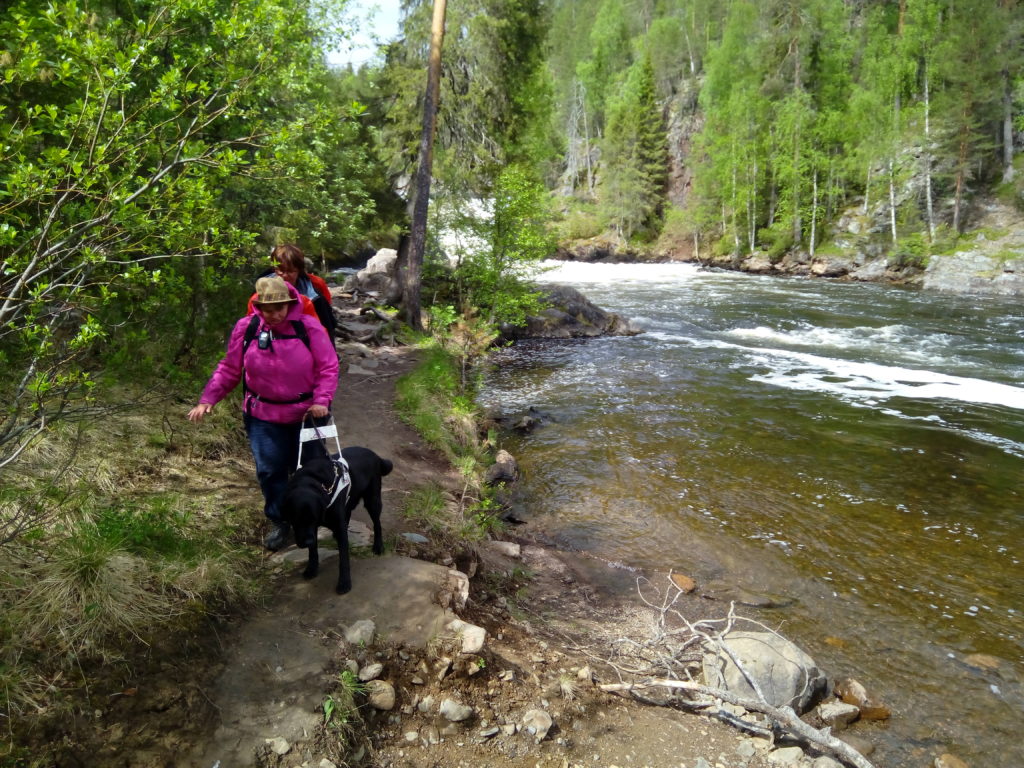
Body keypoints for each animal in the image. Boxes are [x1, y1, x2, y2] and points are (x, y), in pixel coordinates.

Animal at [282, 450, 393, 593]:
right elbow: (313, 551)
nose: (307, 542)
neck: (312, 481)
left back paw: (378, 546)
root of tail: (375, 455)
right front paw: (312, 569)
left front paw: (344, 582)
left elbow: (344, 559)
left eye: (313, 518)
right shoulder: (312, 530)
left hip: (372, 501)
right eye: (296, 519)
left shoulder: (330, 527)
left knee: (377, 524)